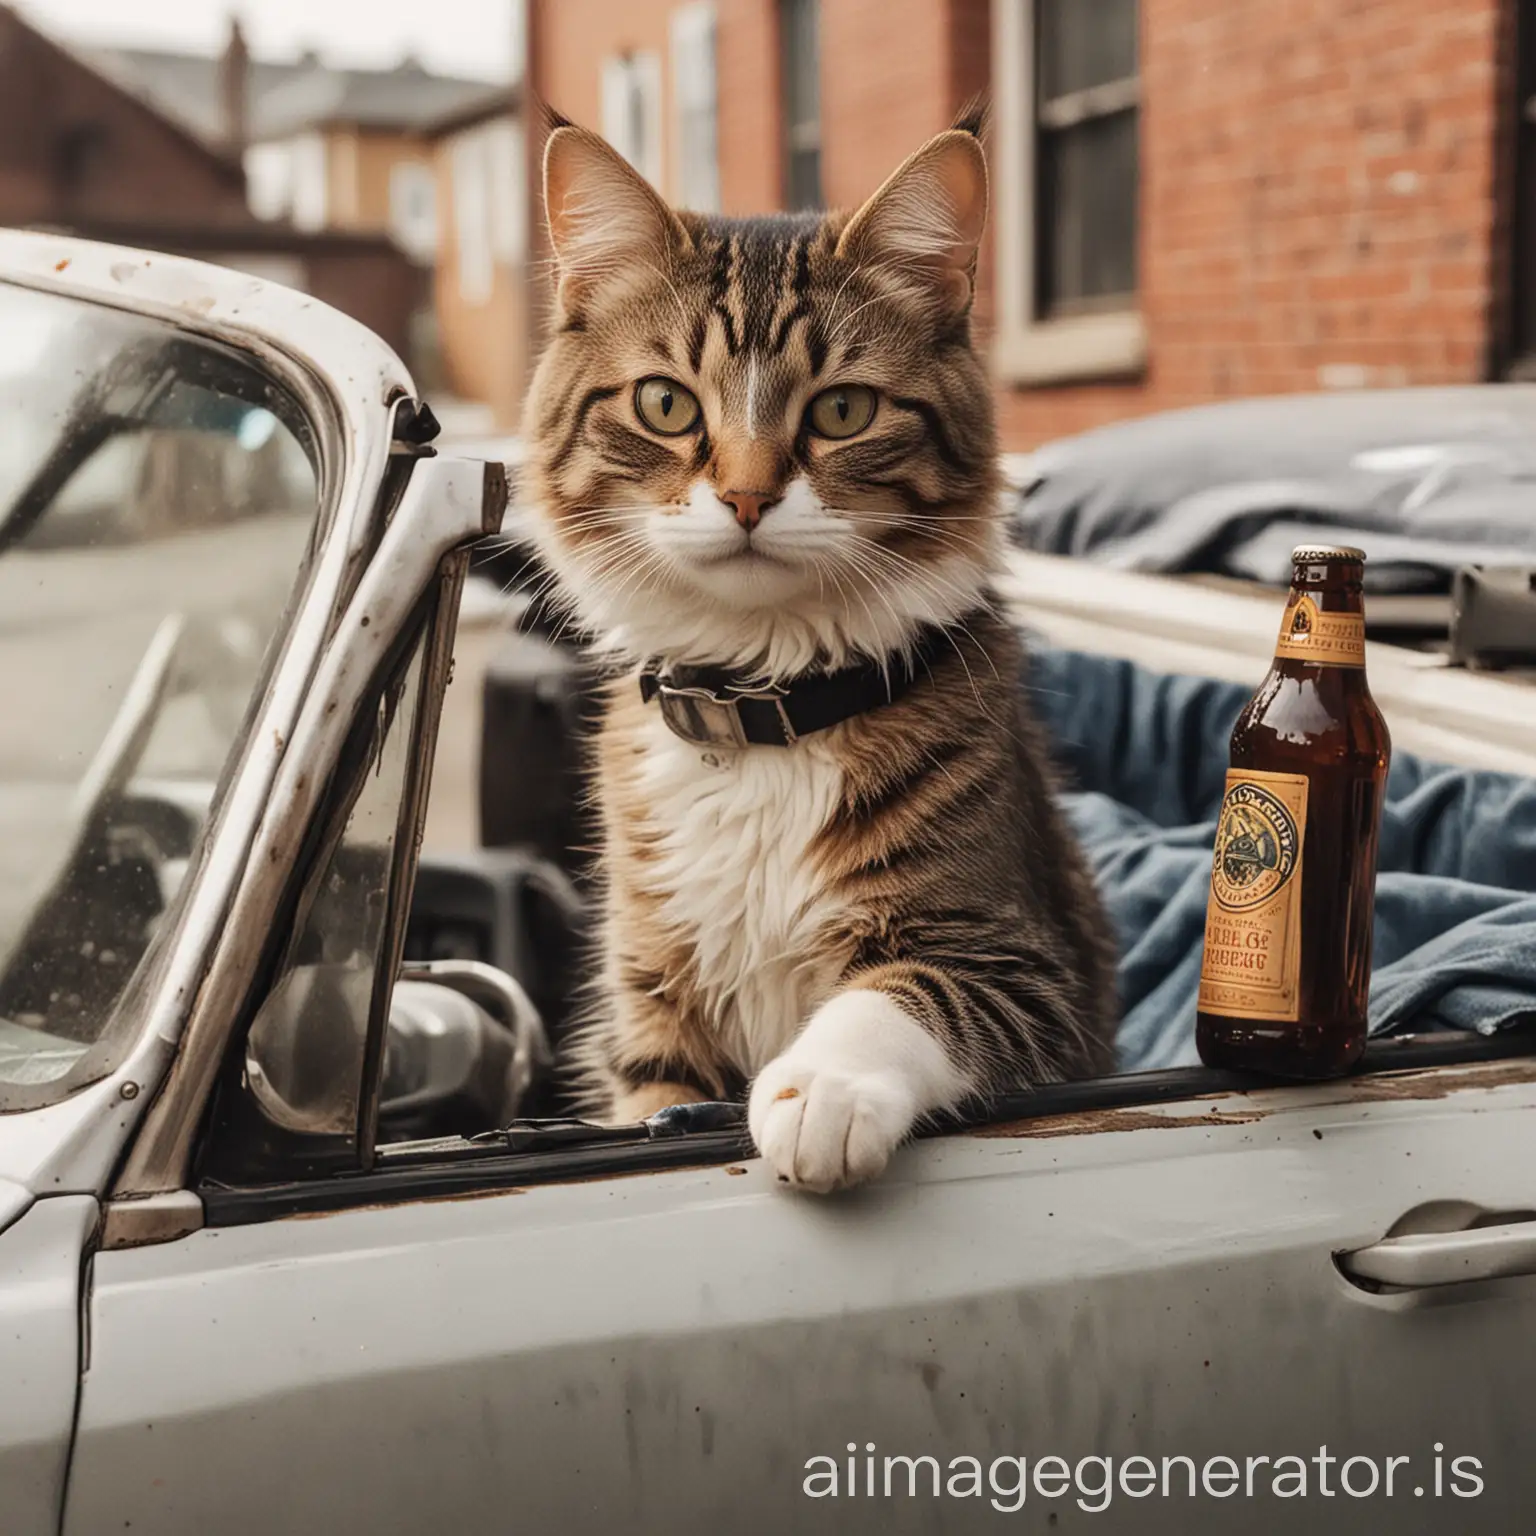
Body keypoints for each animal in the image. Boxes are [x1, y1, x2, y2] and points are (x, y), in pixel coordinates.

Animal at [522, 108, 1112, 1191]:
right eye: (666, 404)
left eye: (842, 410)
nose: (748, 498)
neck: (761, 705)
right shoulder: (653, 1013)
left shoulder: (1023, 966)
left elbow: (893, 996)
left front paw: (820, 1092)